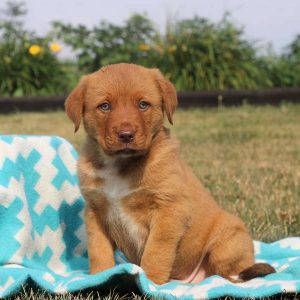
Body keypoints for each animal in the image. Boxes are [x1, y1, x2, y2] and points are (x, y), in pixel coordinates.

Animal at [65, 62, 274, 284]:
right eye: (104, 106)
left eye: (143, 104)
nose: (126, 135)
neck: (121, 164)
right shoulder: (95, 212)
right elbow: (99, 251)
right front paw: (99, 277)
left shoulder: (169, 208)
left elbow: (156, 251)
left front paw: (150, 282)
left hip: (228, 243)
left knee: (233, 275)